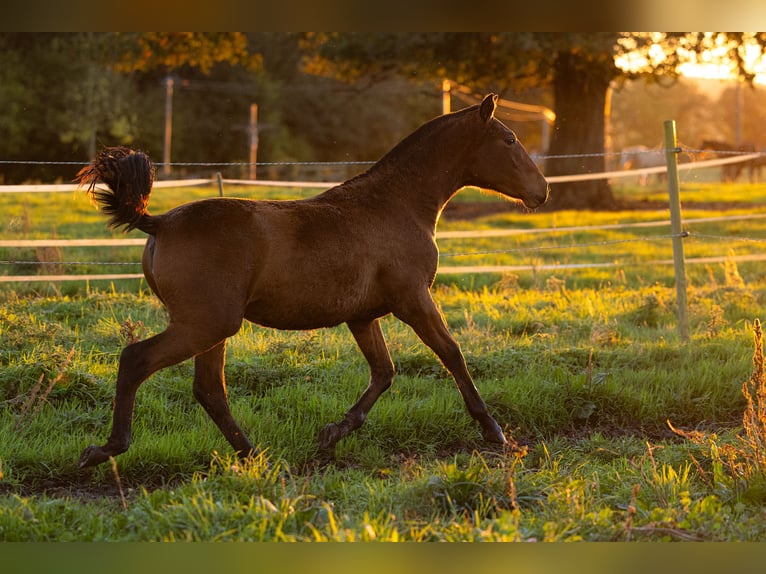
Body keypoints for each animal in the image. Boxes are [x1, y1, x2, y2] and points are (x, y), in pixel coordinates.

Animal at [75, 95, 548, 472]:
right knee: (137, 360)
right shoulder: (412, 299)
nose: (541, 191)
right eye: (510, 140)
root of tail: (159, 223)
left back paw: (254, 455)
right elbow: (451, 354)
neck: (397, 205)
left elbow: (384, 372)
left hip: (211, 329)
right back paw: (104, 450)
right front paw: (494, 431)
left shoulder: (363, 317)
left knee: (209, 390)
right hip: (204, 325)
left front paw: (332, 433)